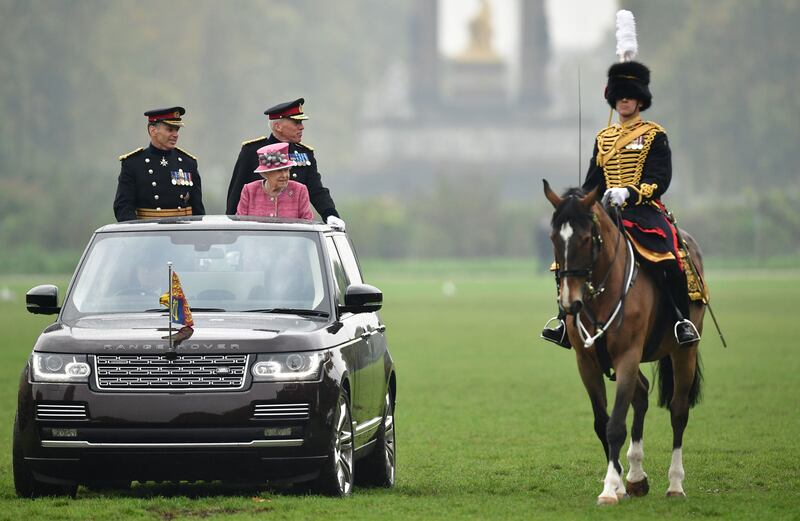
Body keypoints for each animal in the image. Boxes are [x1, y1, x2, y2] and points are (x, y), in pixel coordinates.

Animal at [544, 181, 708, 506]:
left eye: (586, 239)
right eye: (554, 238)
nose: (569, 303)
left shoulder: (628, 356)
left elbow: (616, 425)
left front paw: (609, 489)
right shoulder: (587, 363)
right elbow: (601, 423)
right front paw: (618, 482)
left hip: (684, 352)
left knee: (679, 411)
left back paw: (675, 484)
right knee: (642, 394)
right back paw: (635, 477)